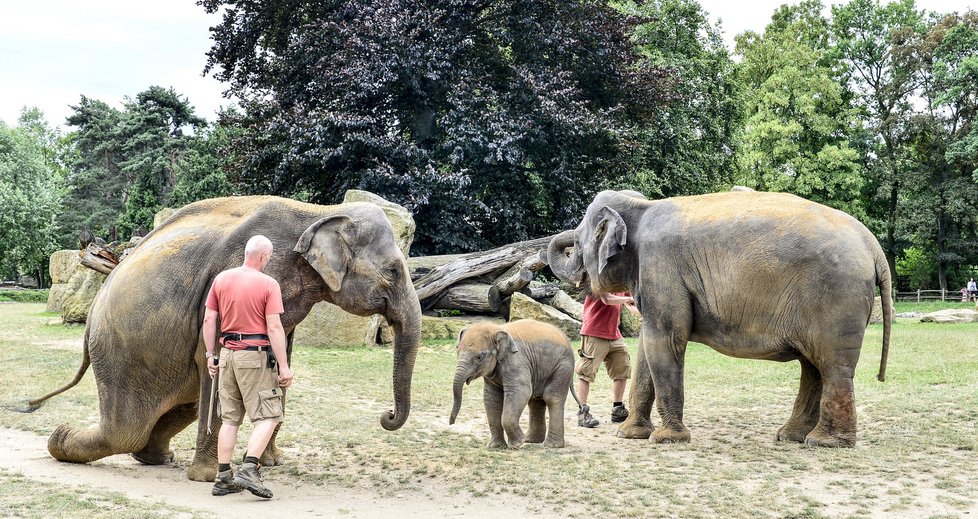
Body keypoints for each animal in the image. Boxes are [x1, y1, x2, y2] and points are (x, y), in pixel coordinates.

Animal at [24, 197, 422, 482]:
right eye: (393, 270)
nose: (387, 415)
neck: (320, 211)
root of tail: (90, 316)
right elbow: (215, 354)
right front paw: (209, 476)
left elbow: (279, 356)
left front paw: (271, 464)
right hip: (120, 353)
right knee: (126, 429)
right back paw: (60, 439)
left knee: (178, 406)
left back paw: (156, 457)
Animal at [450, 318, 580, 448]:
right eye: (457, 351)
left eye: (478, 357)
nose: (451, 423)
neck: (496, 329)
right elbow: (491, 397)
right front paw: (495, 446)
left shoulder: (516, 360)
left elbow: (521, 391)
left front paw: (517, 444)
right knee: (535, 400)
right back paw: (532, 440)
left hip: (562, 368)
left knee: (551, 398)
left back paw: (550, 445)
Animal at [544, 189, 888, 448]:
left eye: (578, 244)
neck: (642, 207)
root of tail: (873, 245)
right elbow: (646, 348)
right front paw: (629, 434)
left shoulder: (661, 266)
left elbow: (665, 339)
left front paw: (666, 439)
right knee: (813, 367)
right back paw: (791, 437)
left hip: (835, 298)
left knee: (832, 367)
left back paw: (825, 443)